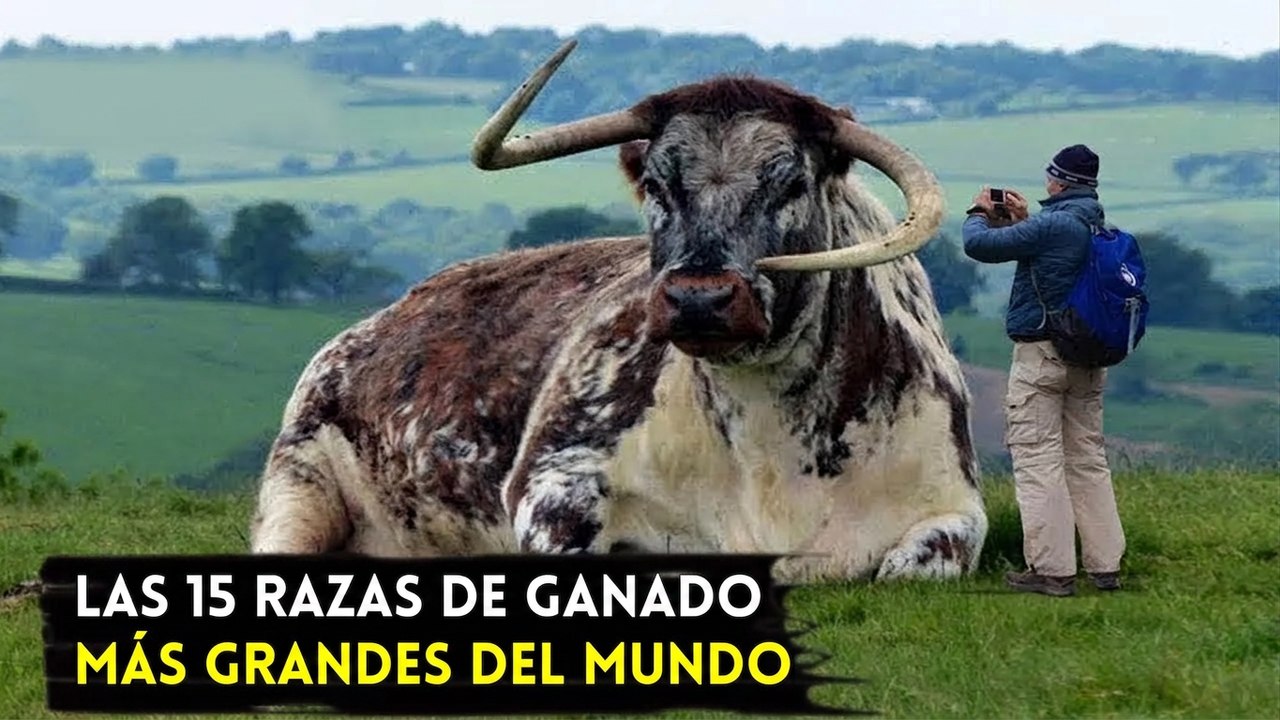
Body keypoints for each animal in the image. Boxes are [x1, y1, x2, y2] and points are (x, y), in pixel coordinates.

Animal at [249, 40, 987, 583]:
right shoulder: (554, 481)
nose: (698, 297)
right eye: (658, 184)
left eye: (791, 182)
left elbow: (916, 563)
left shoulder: (955, 509)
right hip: (298, 483)